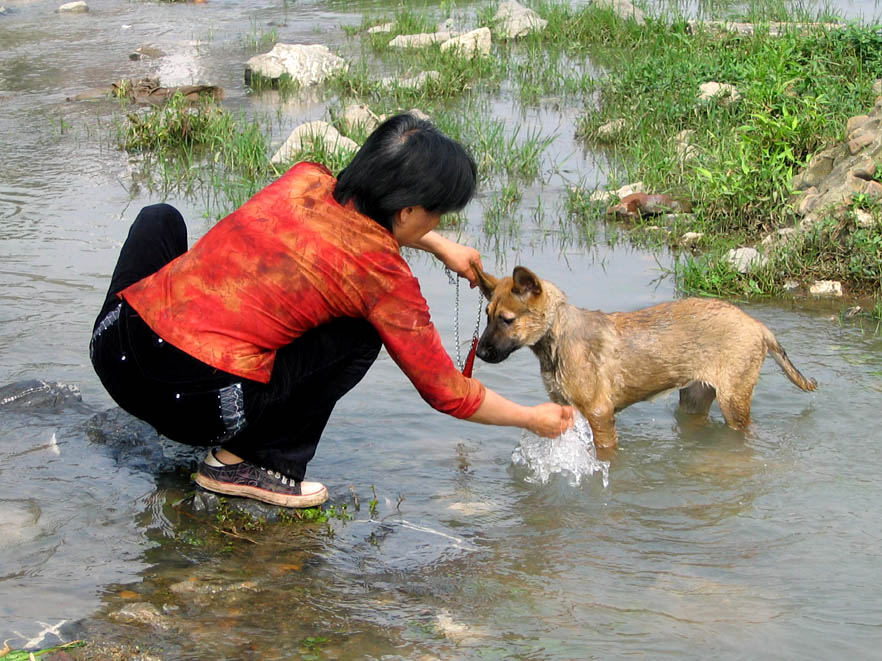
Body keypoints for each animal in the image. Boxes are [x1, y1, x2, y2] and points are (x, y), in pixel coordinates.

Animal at [470, 262, 816, 454]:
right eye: (487, 316)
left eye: (506, 320)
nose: (482, 354)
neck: (556, 337)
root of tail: (758, 326)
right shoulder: (567, 409)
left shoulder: (600, 413)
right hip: (695, 397)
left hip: (734, 401)